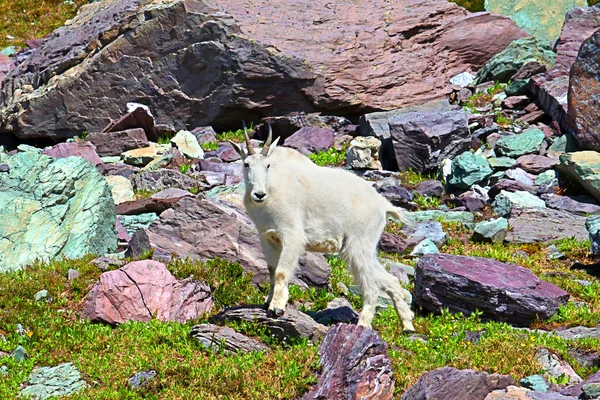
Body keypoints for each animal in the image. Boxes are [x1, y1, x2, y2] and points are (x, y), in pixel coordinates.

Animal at [232, 122, 414, 332]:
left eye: (267, 166)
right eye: (246, 164)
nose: (259, 194)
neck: (272, 191)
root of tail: (383, 205)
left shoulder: (292, 235)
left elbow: (281, 272)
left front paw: (277, 308)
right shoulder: (268, 237)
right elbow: (271, 270)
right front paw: (267, 302)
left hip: (359, 244)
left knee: (371, 286)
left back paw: (362, 325)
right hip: (361, 247)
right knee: (389, 280)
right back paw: (407, 324)